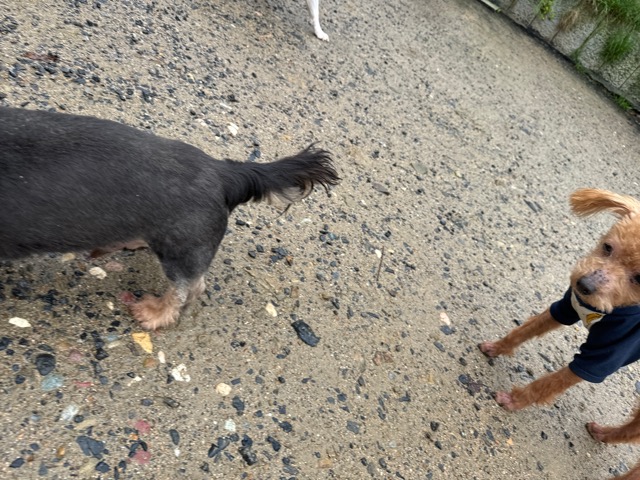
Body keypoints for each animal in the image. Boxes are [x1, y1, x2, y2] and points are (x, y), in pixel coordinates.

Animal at [479, 189, 640, 479]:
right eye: (608, 247)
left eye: (639, 279)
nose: (584, 285)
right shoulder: (567, 307)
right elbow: (526, 330)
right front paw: (497, 348)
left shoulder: (605, 355)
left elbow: (547, 384)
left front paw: (513, 400)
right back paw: (604, 434)